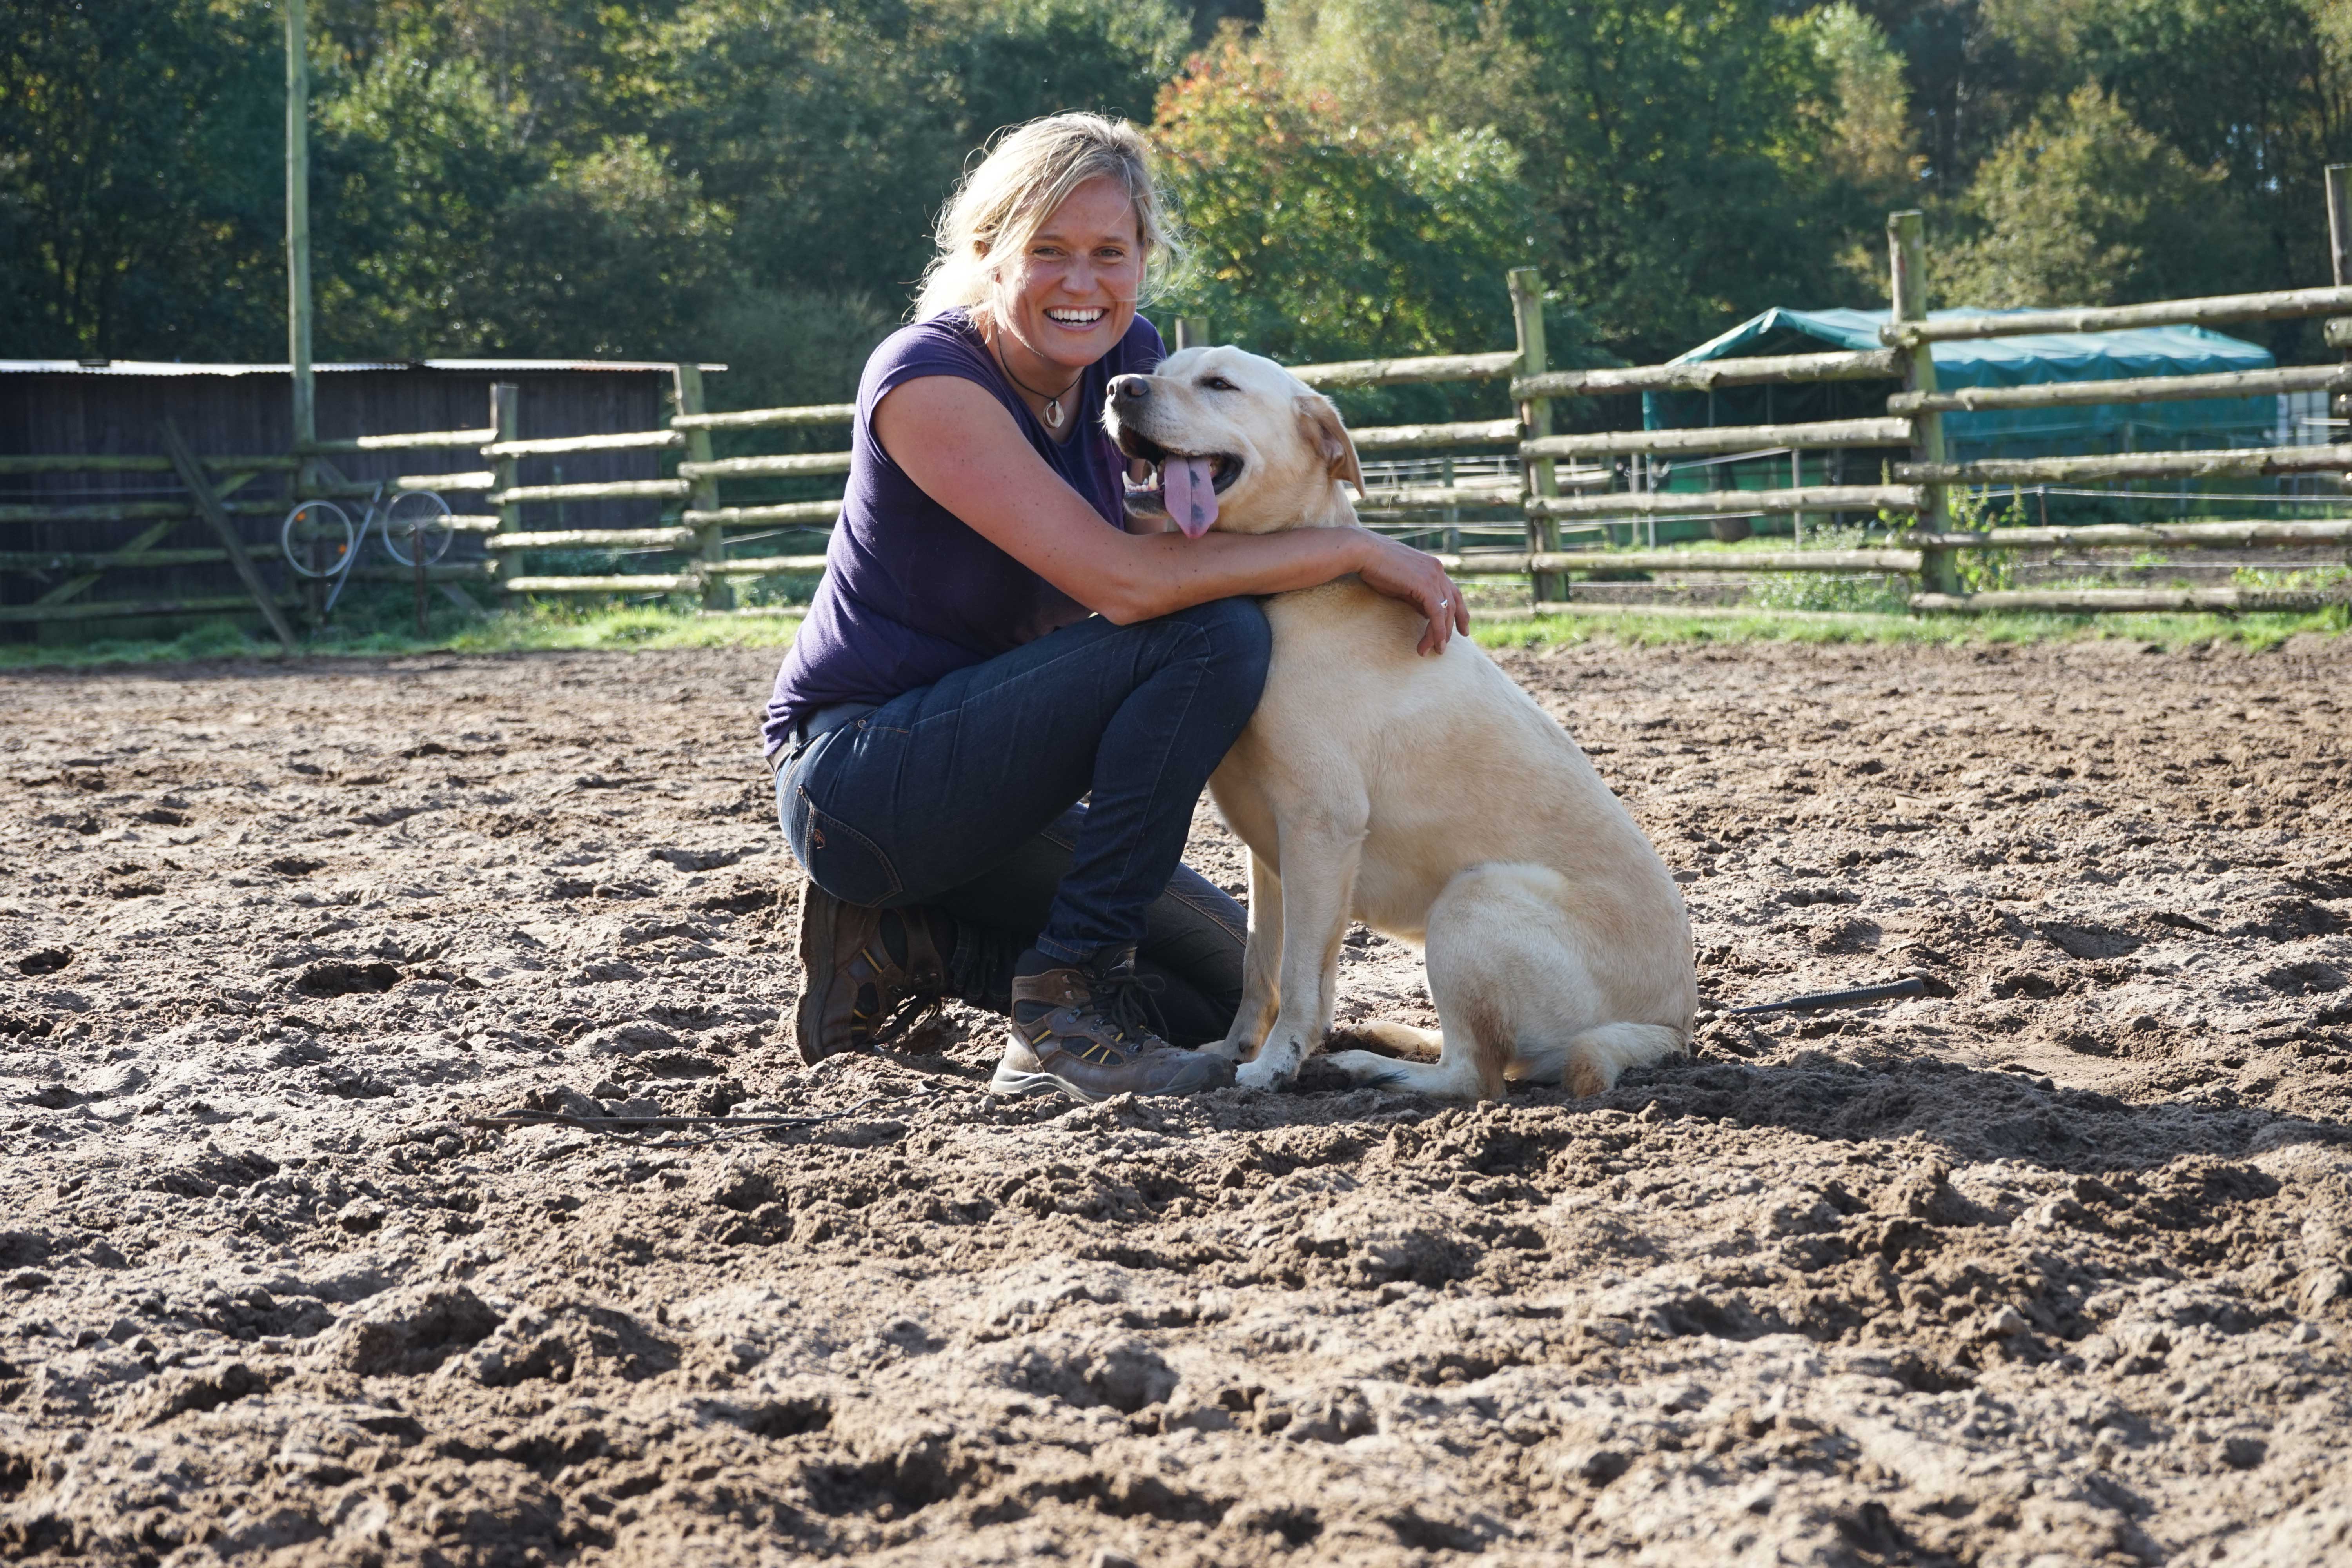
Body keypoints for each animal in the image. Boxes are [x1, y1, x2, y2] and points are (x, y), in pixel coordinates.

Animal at [1101, 343, 1693, 1105]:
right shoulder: (1269, 854)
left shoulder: (1321, 830)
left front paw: (1273, 1067)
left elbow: (1300, 979)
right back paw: (1397, 1037)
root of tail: (1674, 1029)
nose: (1120, 387)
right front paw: (1233, 1052)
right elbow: (1260, 968)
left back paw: (1376, 1065)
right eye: (1162, 366)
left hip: (1473, 899)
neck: (1280, 593)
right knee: (1481, 1058)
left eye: (1220, 384)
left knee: (1478, 1076)